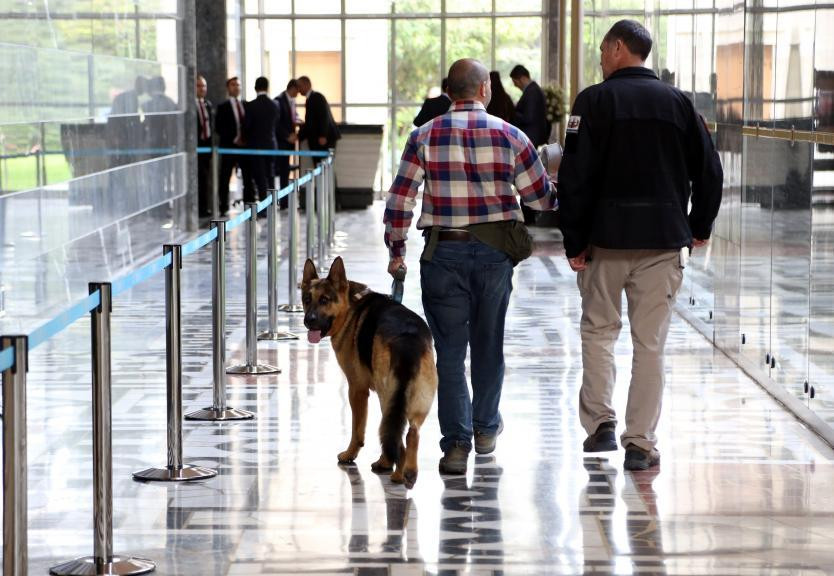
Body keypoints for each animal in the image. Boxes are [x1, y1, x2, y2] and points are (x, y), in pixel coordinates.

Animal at [302, 258, 438, 488]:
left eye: (324, 300)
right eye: (306, 299)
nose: (308, 320)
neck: (350, 306)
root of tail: (408, 338)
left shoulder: (356, 390)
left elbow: (358, 429)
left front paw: (350, 455)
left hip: (387, 396)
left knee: (396, 438)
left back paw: (397, 474)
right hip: (417, 400)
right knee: (410, 433)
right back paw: (408, 472)